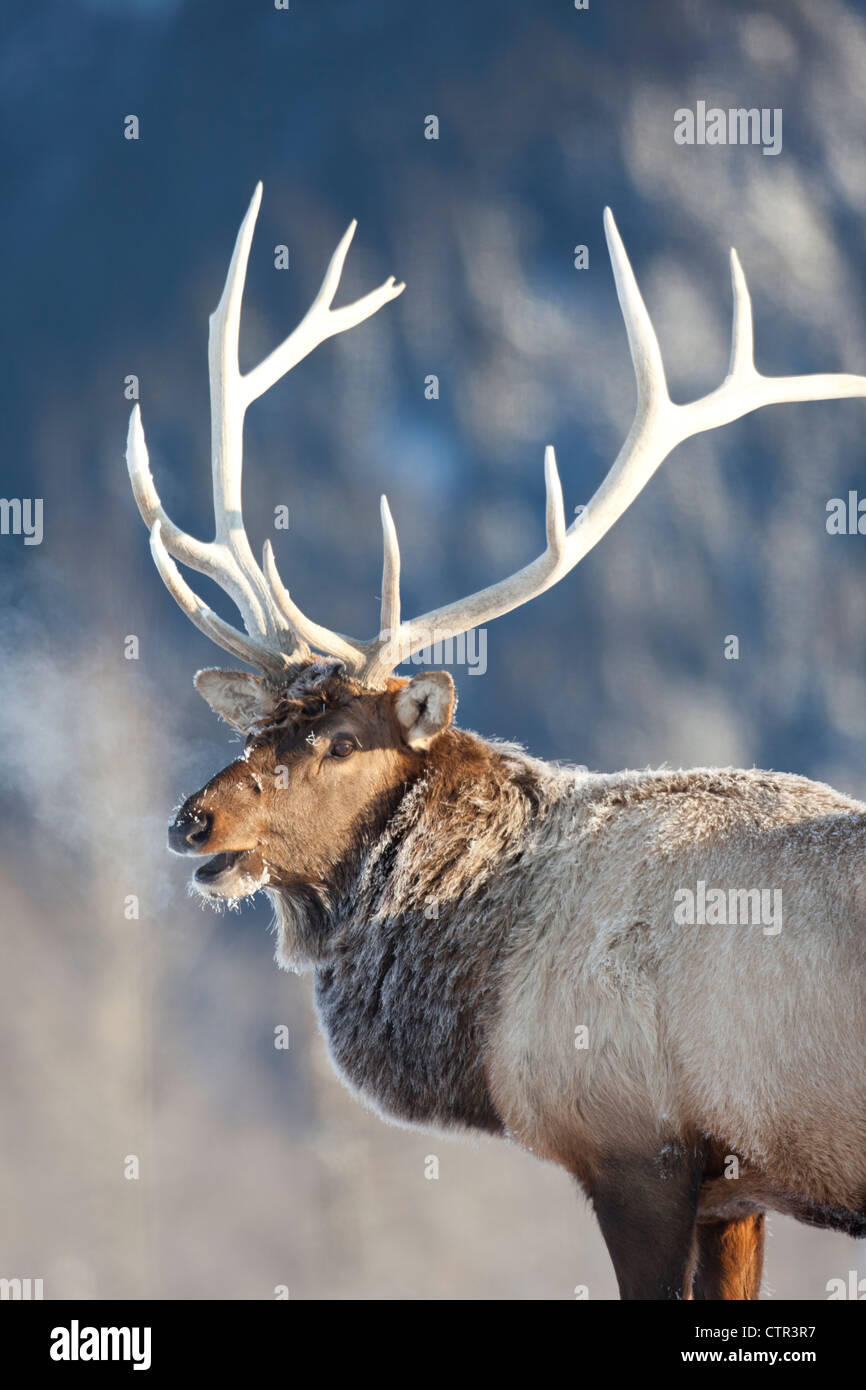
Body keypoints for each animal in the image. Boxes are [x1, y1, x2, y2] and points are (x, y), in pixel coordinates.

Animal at [127, 182, 866, 1289]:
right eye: (261, 726)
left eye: (340, 740)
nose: (192, 819)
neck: (482, 1009)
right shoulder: (740, 1192)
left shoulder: (638, 1150)